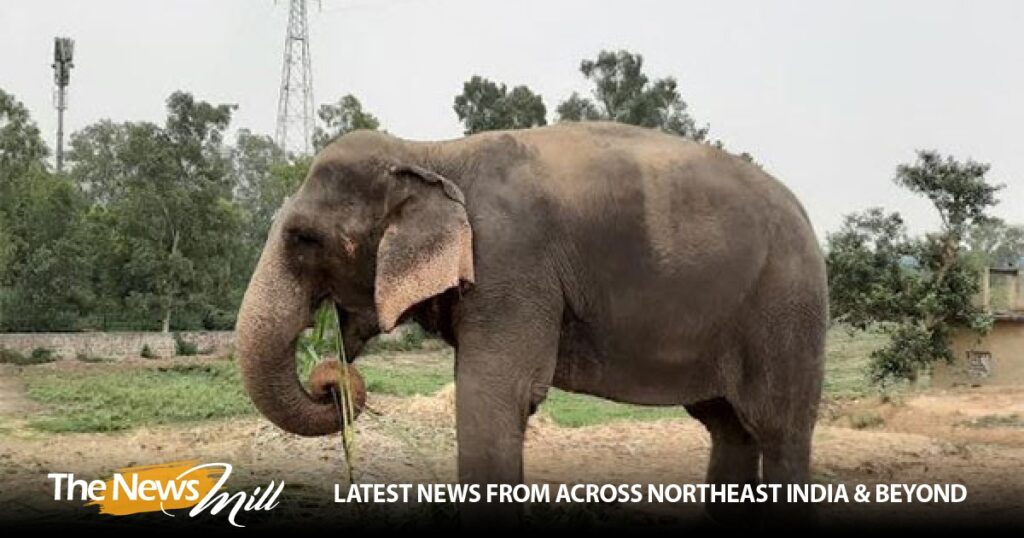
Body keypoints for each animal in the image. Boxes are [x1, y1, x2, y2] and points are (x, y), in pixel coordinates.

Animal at [235, 120, 827, 524]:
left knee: (779, 428)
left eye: (304, 239)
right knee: (729, 427)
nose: (330, 377)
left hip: (787, 311)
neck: (431, 151)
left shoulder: (511, 264)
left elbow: (494, 396)